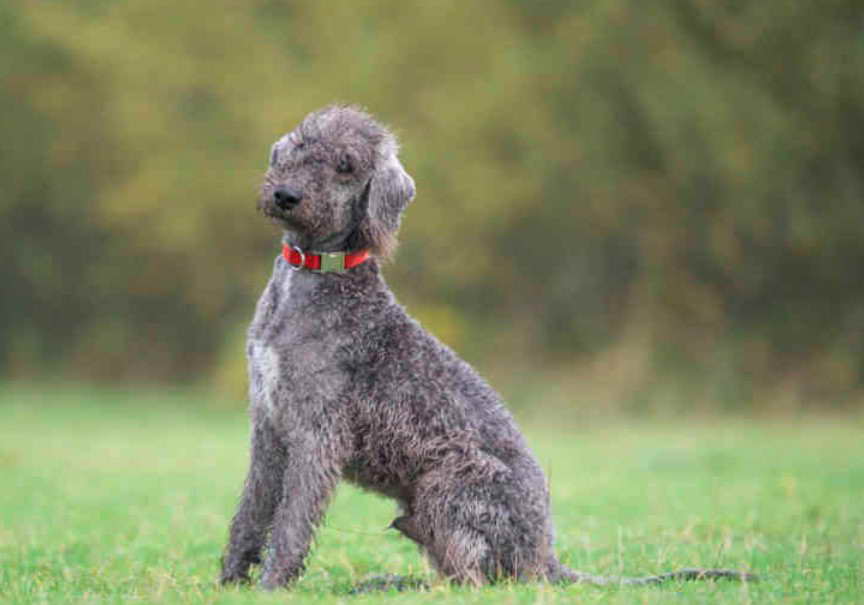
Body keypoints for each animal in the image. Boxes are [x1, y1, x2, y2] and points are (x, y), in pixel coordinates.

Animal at [219, 105, 752, 588]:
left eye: (346, 164)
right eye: (301, 145)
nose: (286, 195)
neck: (314, 276)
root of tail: (545, 556)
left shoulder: (318, 435)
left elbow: (292, 521)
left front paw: (271, 586)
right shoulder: (269, 425)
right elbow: (251, 511)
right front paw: (230, 581)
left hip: (450, 482)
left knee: (475, 580)